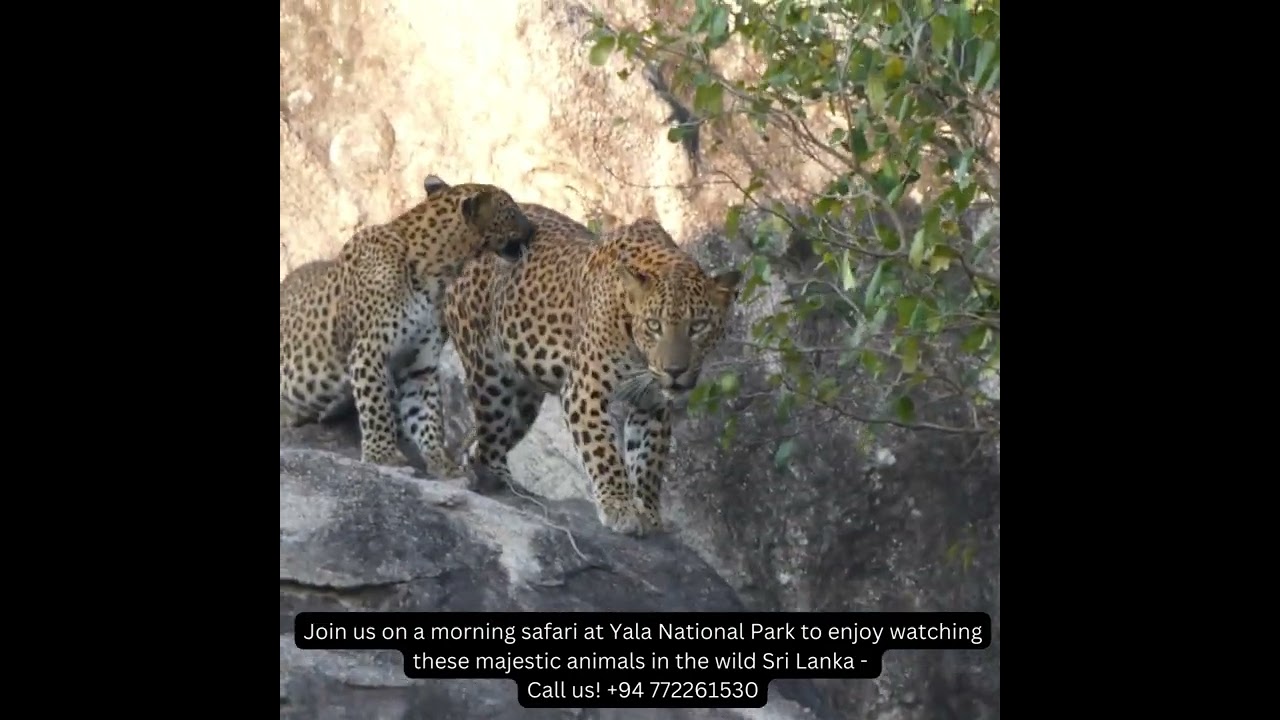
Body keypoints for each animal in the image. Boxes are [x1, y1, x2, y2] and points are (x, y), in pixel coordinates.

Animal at [279, 175, 536, 474]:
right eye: (511, 211)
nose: (533, 229)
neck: (437, 275)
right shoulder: (369, 351)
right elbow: (377, 406)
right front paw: (383, 455)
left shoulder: (419, 363)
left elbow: (426, 413)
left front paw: (440, 461)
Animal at [443, 212, 742, 536]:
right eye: (654, 325)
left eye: (698, 326)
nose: (674, 371)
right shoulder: (585, 390)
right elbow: (603, 451)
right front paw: (620, 507)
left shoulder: (652, 403)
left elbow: (648, 458)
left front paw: (647, 510)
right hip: (490, 377)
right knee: (488, 439)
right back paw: (497, 480)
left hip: (522, 401)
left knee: (484, 441)